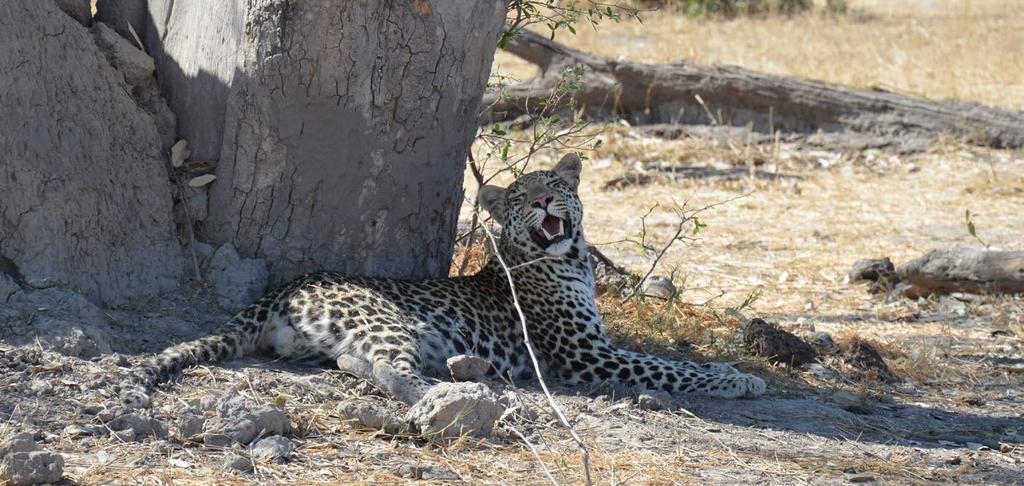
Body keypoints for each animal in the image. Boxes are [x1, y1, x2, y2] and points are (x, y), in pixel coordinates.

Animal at [119, 154, 765, 409]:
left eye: (557, 184)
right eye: (524, 196)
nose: (548, 200)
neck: (573, 258)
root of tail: (282, 288)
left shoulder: (600, 346)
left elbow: (670, 361)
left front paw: (729, 369)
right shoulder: (585, 355)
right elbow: (669, 367)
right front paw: (738, 380)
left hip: (331, 341)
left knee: (352, 363)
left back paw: (467, 372)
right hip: (390, 320)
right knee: (387, 370)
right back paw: (457, 394)